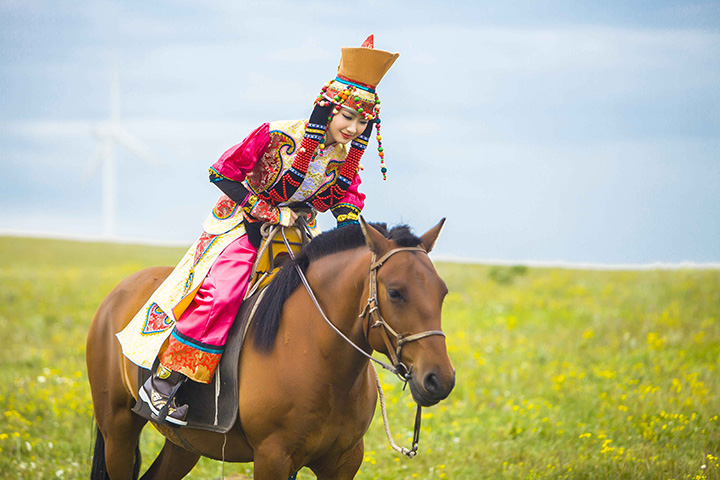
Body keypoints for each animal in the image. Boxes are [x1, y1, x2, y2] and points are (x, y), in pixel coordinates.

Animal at [86, 218, 456, 480]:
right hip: (117, 429)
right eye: (395, 292)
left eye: (442, 292)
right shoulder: (272, 458)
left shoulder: (344, 461)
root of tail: (116, 296)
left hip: (186, 445)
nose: (440, 379)